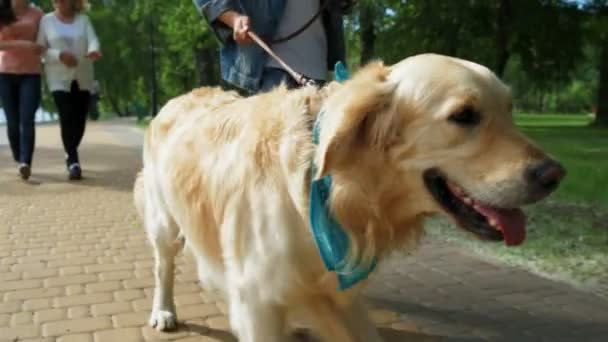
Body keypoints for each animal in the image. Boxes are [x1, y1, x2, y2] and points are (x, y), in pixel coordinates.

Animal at [134, 54, 564, 342]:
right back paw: (164, 310)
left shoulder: (336, 293)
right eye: (464, 115)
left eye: (510, 110)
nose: (554, 175)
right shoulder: (258, 300)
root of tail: (174, 100)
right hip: (164, 223)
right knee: (161, 267)